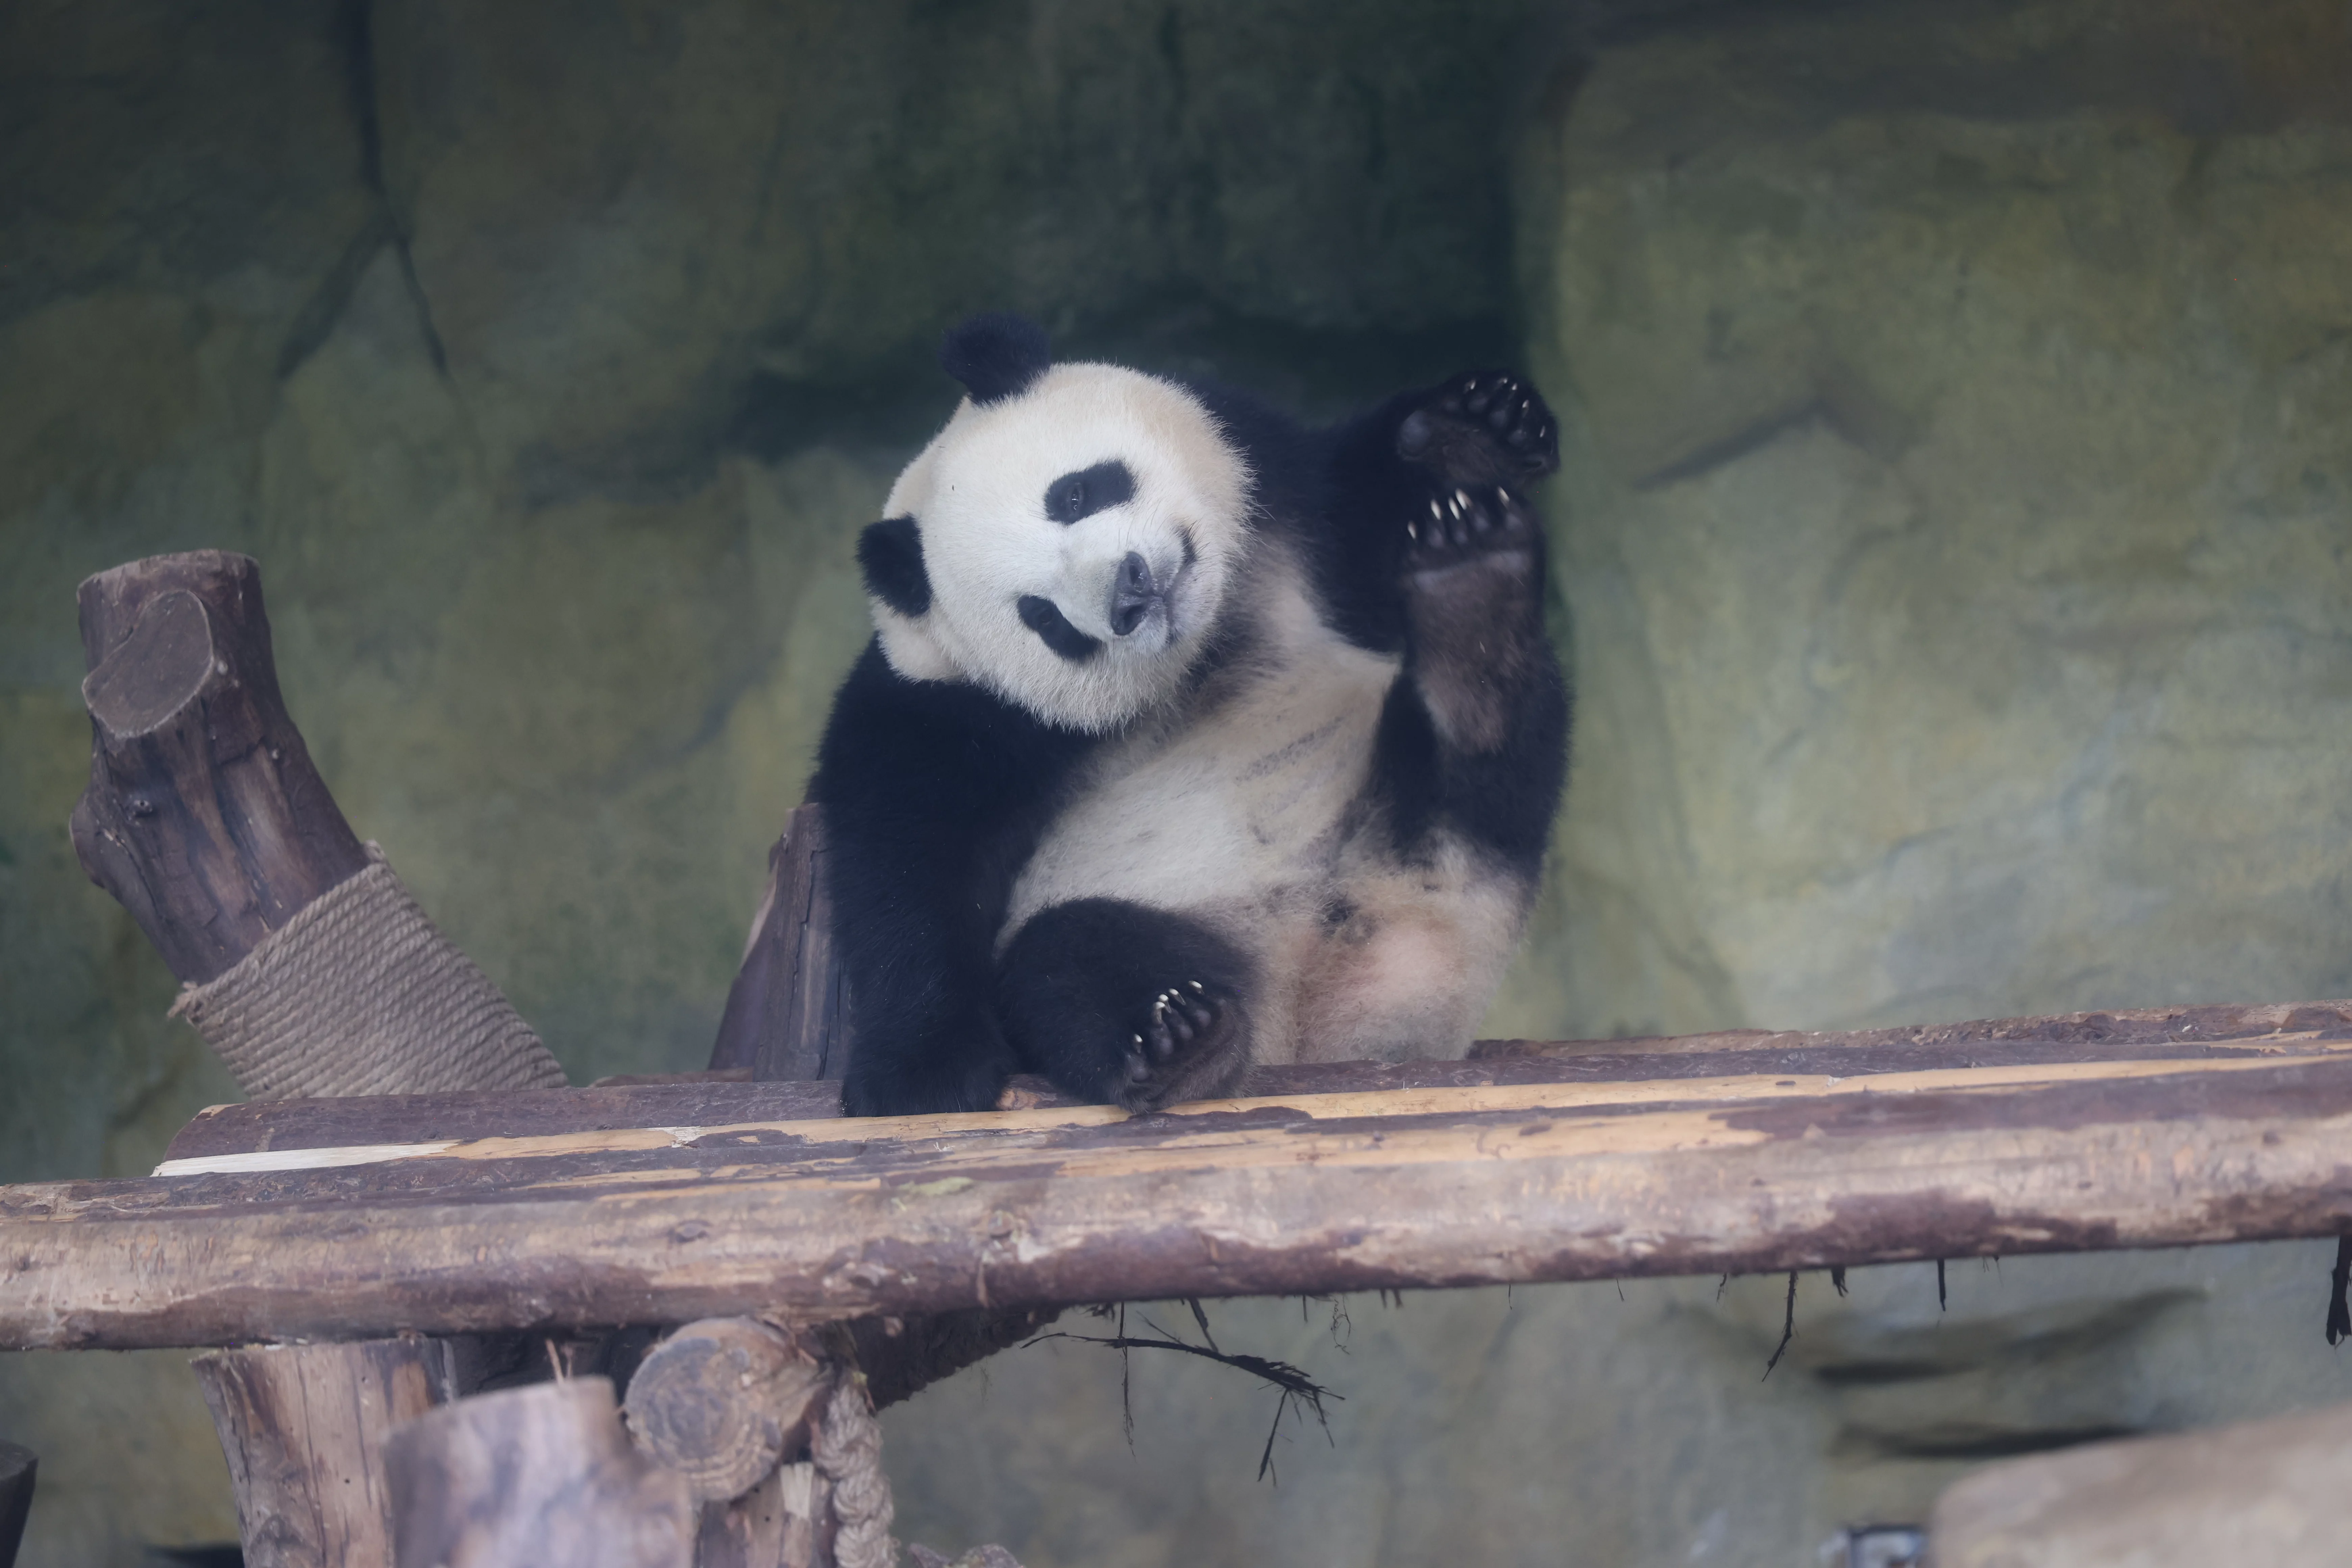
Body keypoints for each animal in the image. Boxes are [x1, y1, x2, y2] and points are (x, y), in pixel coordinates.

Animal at [812, 313, 1568, 1117]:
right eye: (1043, 618)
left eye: (1074, 494)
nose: (1131, 593)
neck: (1206, 646)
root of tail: (1325, 1019)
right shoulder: (955, 708)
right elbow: (906, 858)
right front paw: (926, 1074)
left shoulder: (1280, 494)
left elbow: (1357, 502)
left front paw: (1473, 429)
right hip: (1172, 906)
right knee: (1067, 957)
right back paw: (1178, 1039)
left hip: (1438, 856)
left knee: (1489, 774)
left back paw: (1474, 606)